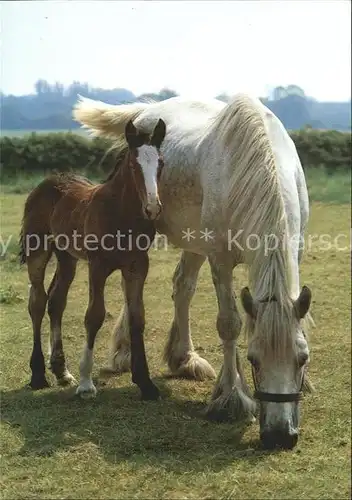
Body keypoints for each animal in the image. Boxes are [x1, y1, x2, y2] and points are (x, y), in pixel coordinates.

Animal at [19, 117, 166, 398]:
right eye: (134, 165)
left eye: (161, 163)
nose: (153, 208)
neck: (121, 212)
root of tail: (48, 181)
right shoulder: (98, 266)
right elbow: (94, 315)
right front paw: (87, 383)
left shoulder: (137, 265)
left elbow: (137, 317)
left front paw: (146, 382)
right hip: (38, 250)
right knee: (37, 302)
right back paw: (38, 374)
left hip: (67, 256)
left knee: (56, 301)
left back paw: (61, 371)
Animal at [73, 94, 314, 450]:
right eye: (254, 359)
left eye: (302, 358)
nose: (279, 436)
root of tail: (146, 110)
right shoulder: (220, 259)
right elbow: (229, 325)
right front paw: (232, 397)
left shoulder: (293, 252)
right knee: (139, 292)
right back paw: (124, 354)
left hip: (192, 243)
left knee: (182, 287)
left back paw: (184, 358)